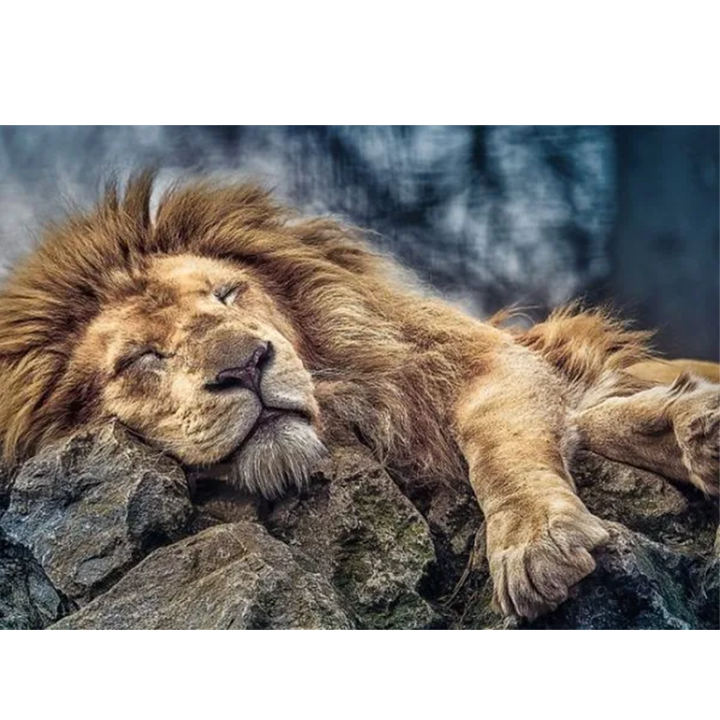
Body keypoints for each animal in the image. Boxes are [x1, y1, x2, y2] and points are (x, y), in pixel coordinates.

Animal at [0, 172, 717, 621]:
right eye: (142, 357)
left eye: (227, 294)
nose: (247, 365)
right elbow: (591, 419)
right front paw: (683, 426)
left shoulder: (483, 359)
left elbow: (501, 440)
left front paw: (535, 542)